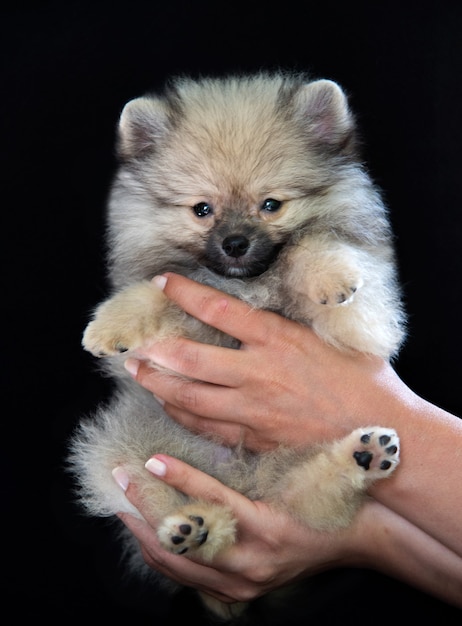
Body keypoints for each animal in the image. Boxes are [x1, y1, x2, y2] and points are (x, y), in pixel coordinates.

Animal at [67, 73, 404, 620]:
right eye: (202, 210)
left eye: (271, 204)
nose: (235, 244)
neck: (249, 284)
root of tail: (248, 481)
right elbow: (159, 289)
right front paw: (110, 324)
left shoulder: (368, 320)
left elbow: (312, 246)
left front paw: (329, 275)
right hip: (128, 451)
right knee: (176, 505)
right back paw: (194, 527)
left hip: (288, 496)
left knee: (309, 500)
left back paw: (360, 457)